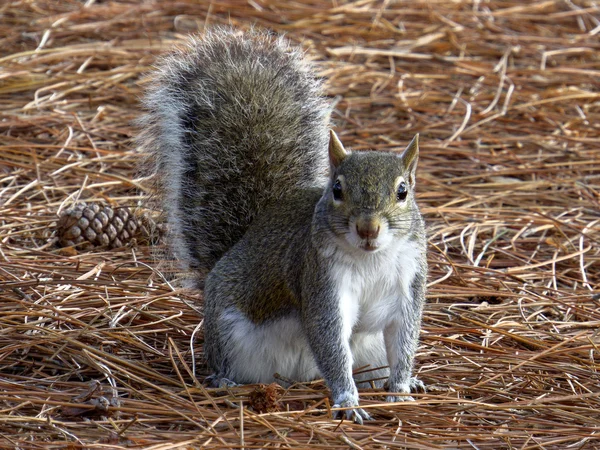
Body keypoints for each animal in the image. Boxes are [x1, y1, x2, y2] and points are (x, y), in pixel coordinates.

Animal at [139, 28, 426, 422]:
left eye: (403, 191)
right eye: (337, 189)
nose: (368, 228)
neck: (371, 258)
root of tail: (299, 375)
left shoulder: (408, 285)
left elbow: (404, 339)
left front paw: (401, 386)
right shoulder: (319, 279)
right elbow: (330, 339)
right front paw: (347, 401)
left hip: (370, 352)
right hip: (227, 330)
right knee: (225, 361)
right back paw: (224, 381)